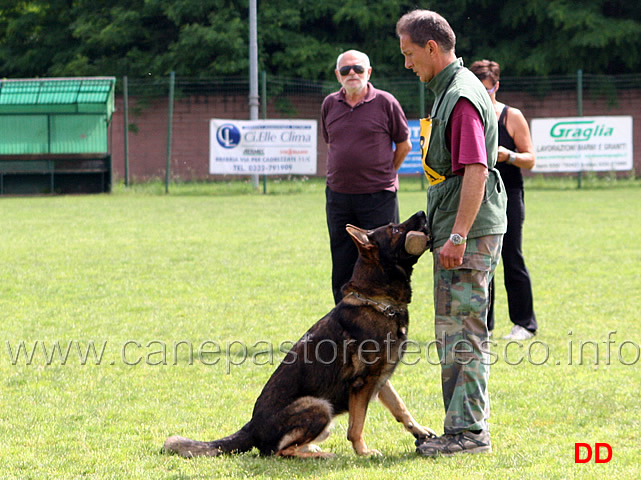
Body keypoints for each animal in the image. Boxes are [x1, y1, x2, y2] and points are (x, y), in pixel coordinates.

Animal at [164, 211, 436, 458]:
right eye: (395, 230)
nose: (423, 212)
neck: (378, 301)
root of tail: (251, 427)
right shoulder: (362, 384)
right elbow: (356, 427)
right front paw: (363, 452)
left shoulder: (381, 380)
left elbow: (400, 408)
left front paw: (419, 431)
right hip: (319, 407)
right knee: (277, 452)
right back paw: (320, 454)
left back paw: (313, 448)